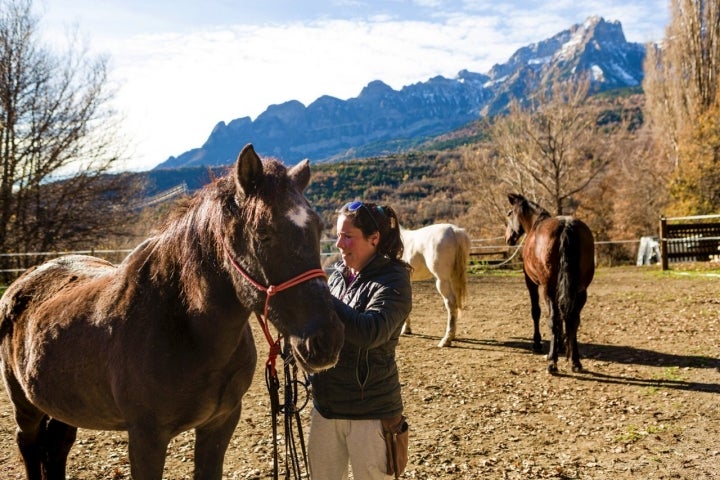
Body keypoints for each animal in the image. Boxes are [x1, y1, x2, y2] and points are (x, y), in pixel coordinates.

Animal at [0, 145, 346, 480]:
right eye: (263, 234)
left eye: (318, 229)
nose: (326, 341)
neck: (184, 329)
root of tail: (22, 281)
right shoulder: (146, 437)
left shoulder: (219, 424)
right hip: (25, 405)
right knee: (29, 444)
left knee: (58, 444)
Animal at [504, 193, 592, 374]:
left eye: (509, 213)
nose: (508, 238)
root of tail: (566, 225)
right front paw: (561, 345)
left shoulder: (531, 283)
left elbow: (536, 312)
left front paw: (537, 343)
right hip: (581, 291)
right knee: (573, 319)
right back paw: (575, 361)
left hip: (548, 289)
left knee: (554, 318)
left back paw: (552, 361)